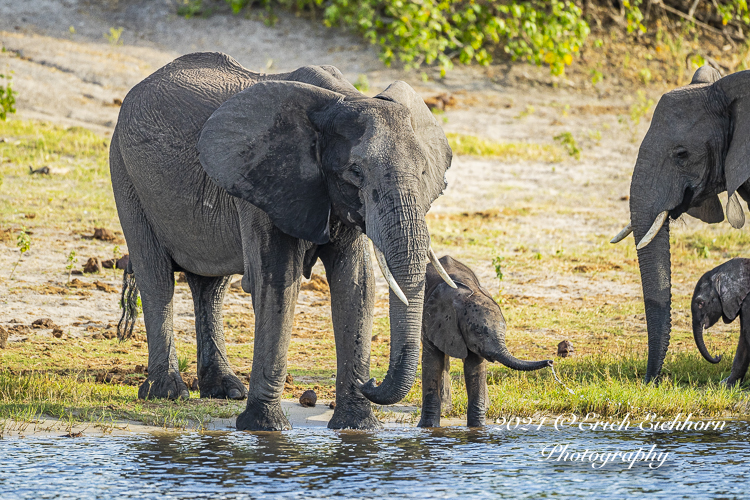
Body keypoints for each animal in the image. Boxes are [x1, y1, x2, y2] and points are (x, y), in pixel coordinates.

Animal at [108, 52, 456, 432]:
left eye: (423, 173)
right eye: (355, 172)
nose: (371, 381)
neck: (342, 98)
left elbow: (357, 284)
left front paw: (357, 427)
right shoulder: (263, 179)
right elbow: (278, 280)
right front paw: (265, 428)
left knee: (210, 286)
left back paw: (226, 390)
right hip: (124, 172)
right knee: (156, 277)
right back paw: (168, 393)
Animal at [418, 256, 552, 428]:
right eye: (478, 332)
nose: (550, 362)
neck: (466, 296)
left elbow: (475, 368)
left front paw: (477, 428)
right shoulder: (432, 320)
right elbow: (432, 363)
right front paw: (427, 427)